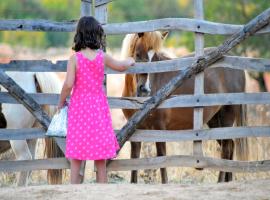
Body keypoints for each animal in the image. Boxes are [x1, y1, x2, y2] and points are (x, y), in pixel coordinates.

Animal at [122, 30, 249, 183]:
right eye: (138, 54)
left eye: (156, 58)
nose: (145, 89)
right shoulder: (134, 131)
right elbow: (134, 161)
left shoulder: (159, 128)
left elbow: (161, 158)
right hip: (214, 120)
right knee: (230, 145)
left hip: (227, 117)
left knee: (226, 148)